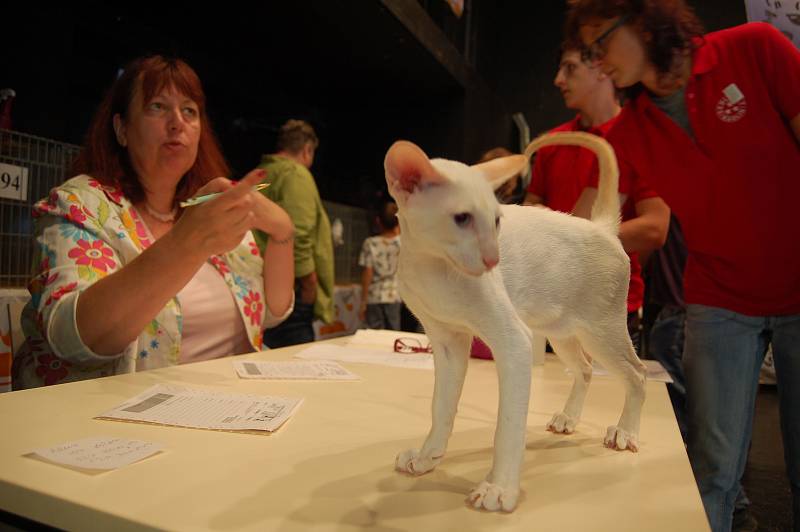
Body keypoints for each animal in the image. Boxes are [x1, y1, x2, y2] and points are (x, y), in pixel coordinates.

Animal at [382, 132, 648, 512]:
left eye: (497, 221)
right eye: (462, 218)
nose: (494, 259)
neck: (433, 267)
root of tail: (602, 227)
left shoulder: (513, 341)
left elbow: (507, 424)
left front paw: (499, 489)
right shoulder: (447, 342)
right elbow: (441, 406)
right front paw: (426, 458)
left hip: (600, 331)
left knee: (637, 373)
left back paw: (625, 432)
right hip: (560, 330)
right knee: (584, 368)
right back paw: (569, 418)